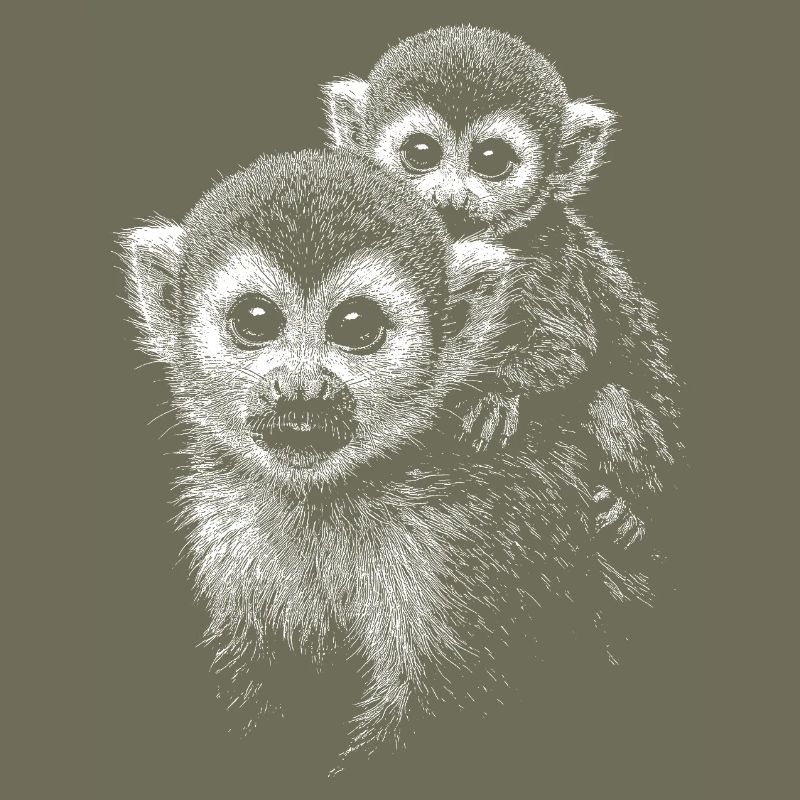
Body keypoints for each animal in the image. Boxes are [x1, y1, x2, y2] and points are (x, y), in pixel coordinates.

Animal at [119, 148, 642, 771]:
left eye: (356, 326)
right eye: (255, 320)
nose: (301, 388)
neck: (330, 497)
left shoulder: (470, 533)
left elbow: (442, 707)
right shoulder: (231, 521)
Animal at [321, 25, 682, 553]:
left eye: (491, 160)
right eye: (421, 154)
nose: (450, 199)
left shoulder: (545, 252)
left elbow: (567, 347)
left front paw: (495, 393)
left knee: (608, 399)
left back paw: (632, 510)